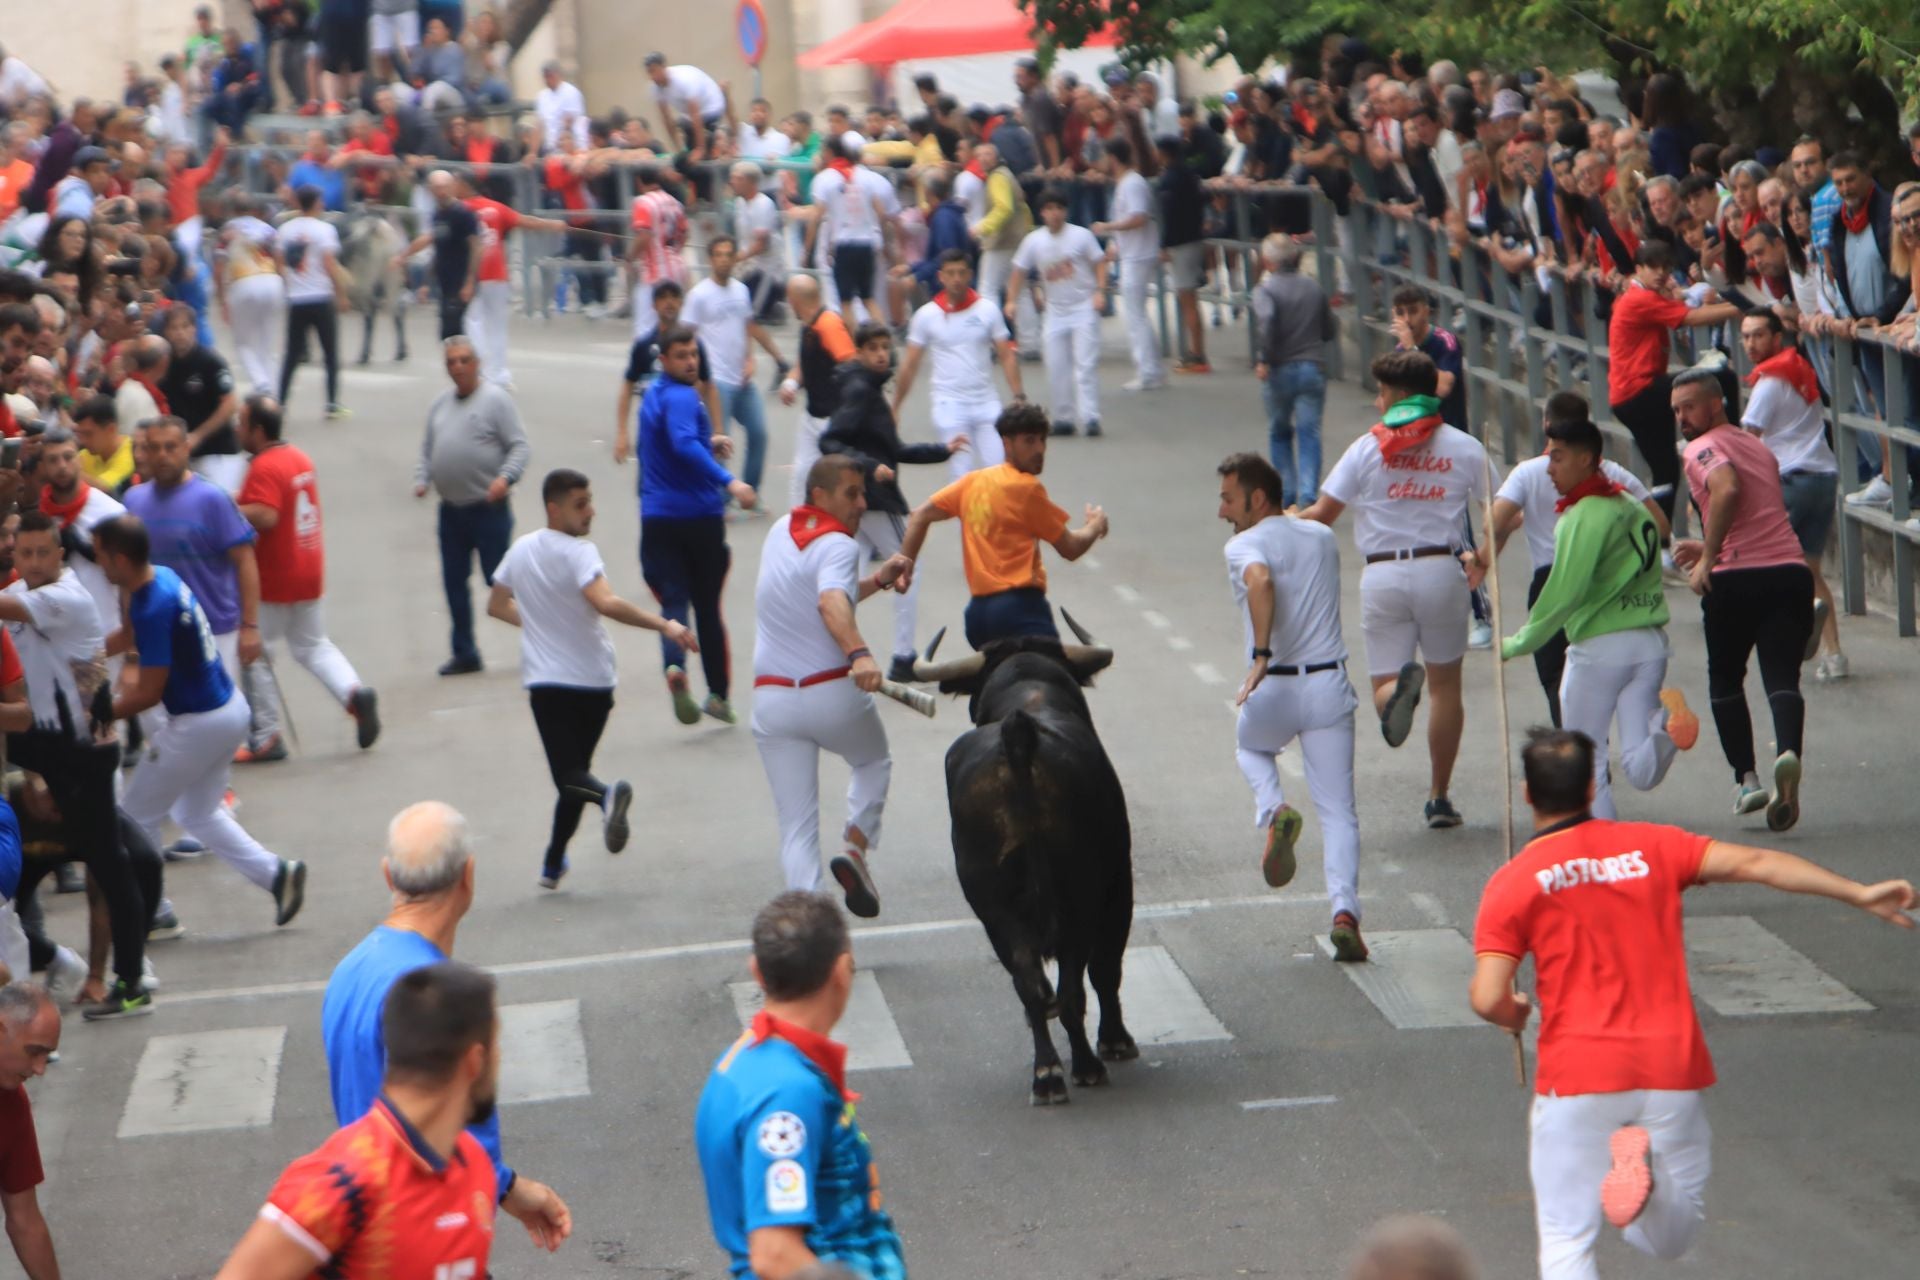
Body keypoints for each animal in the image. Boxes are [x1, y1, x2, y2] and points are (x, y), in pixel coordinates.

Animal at [917, 625, 1136, 1105]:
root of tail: (1019, 738)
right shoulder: (1118, 884)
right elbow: (1106, 967)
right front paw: (1116, 1041)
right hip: (1081, 898)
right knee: (1073, 986)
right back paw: (1085, 1066)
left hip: (994, 909)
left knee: (1030, 985)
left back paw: (1047, 1074)